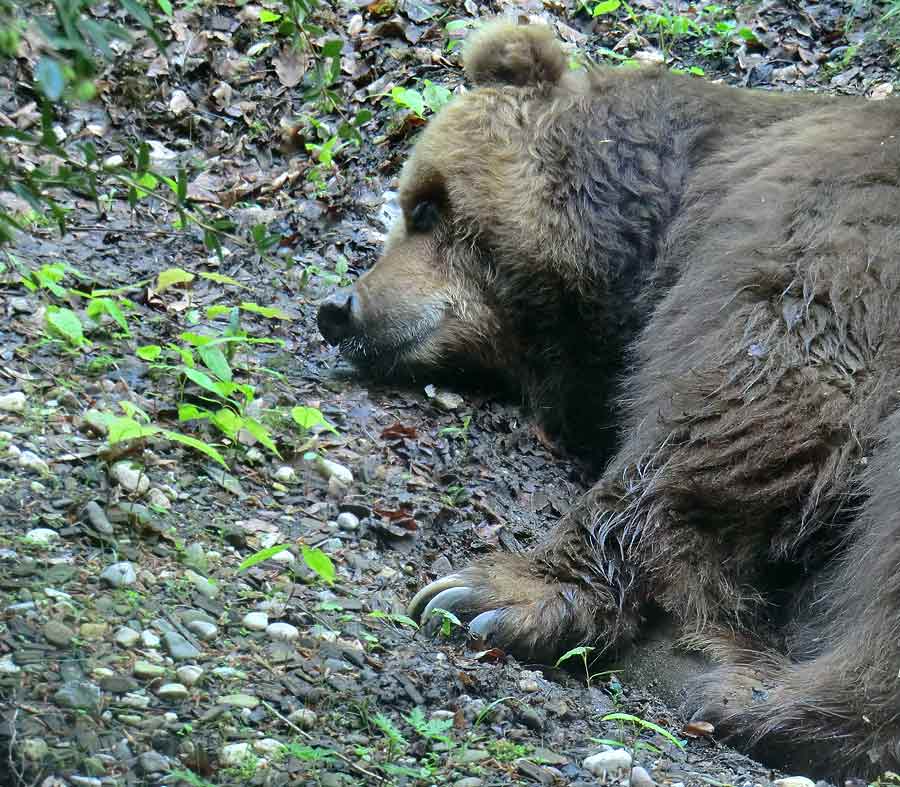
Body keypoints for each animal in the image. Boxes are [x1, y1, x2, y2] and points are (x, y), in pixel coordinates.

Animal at [318, 20, 900, 780]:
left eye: (423, 206)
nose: (338, 308)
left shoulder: (829, 238)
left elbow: (750, 398)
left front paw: (487, 589)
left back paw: (746, 689)